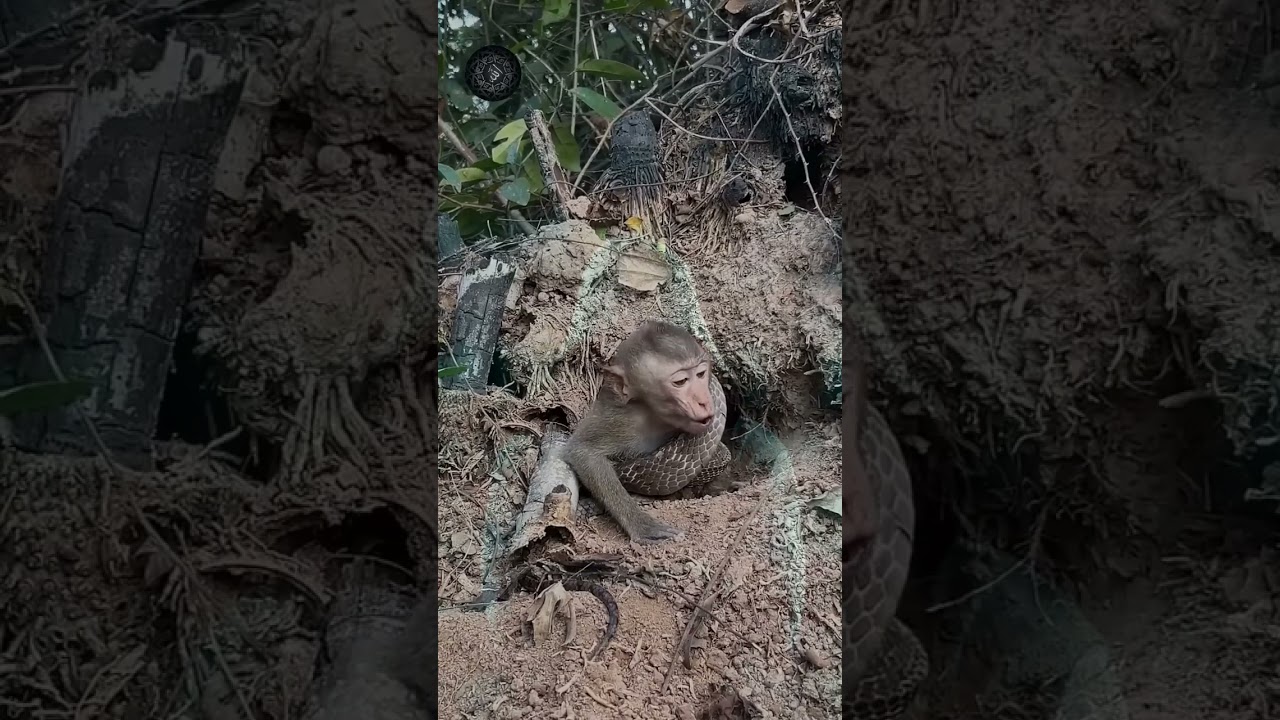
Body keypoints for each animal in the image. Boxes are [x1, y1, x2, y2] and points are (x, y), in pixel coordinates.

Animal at [564, 321, 720, 544]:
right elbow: (583, 451)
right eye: (680, 382)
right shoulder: (621, 422)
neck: (653, 415)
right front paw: (642, 525)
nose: (704, 401)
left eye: (701, 374)